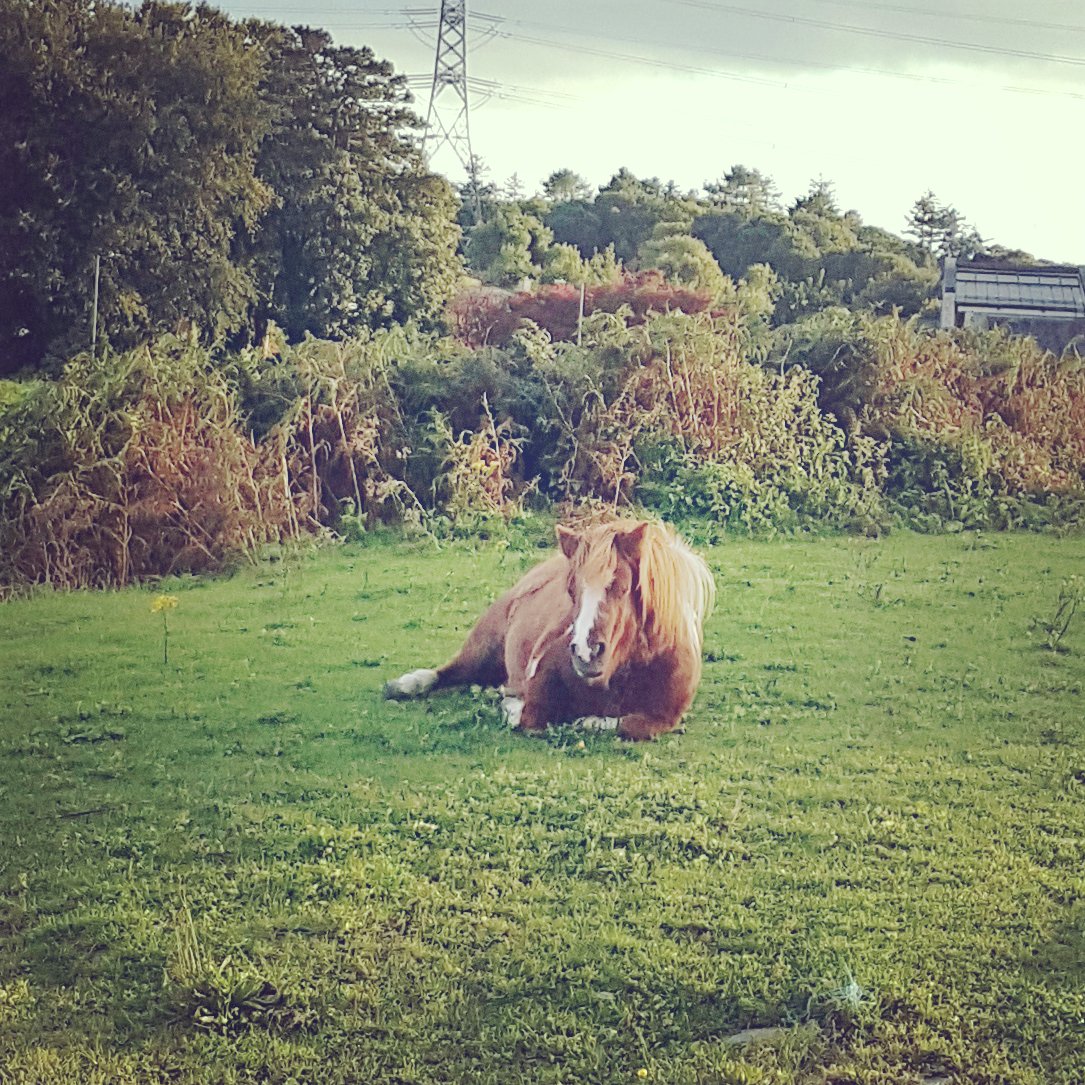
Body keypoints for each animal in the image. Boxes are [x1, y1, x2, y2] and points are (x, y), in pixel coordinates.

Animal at [384, 519, 716, 740]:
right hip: (483, 646)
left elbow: (630, 725)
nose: (586, 653)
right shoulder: (537, 697)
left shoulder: (665, 718)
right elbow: (532, 719)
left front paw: (590, 722)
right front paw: (512, 706)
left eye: (622, 586)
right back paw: (405, 685)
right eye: (571, 589)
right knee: (448, 672)